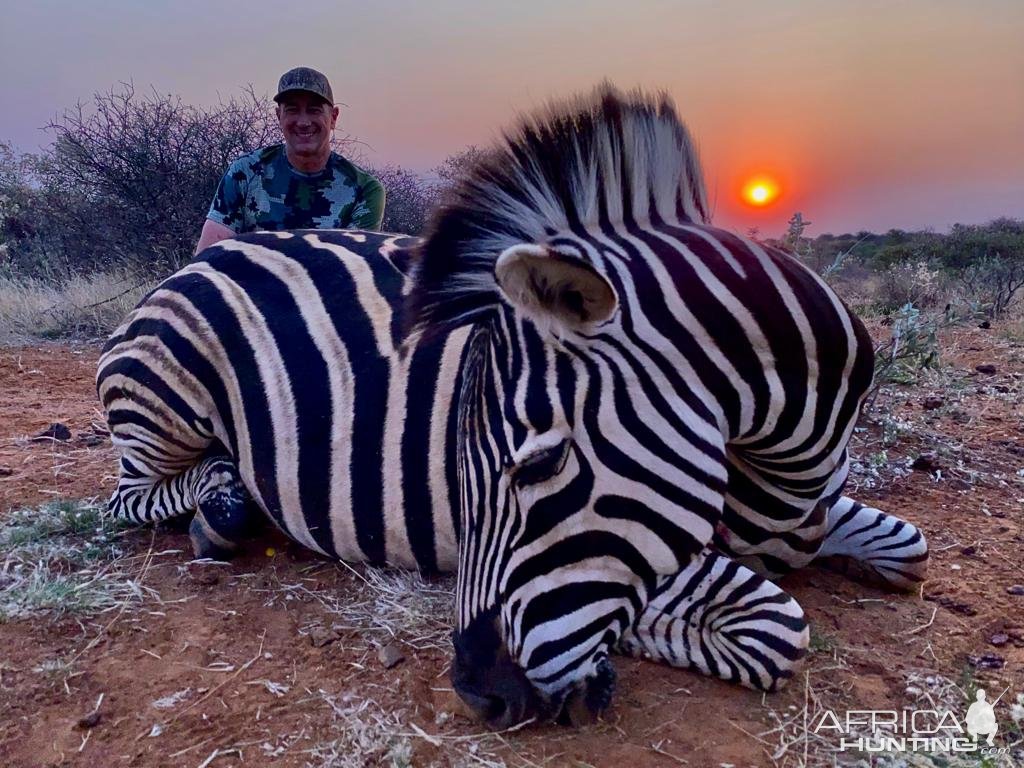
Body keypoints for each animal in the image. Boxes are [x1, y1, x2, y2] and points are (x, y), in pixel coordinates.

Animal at [99, 83, 933, 729]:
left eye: (541, 463)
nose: (478, 693)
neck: (788, 462)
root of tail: (210, 253)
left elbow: (909, 548)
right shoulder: (666, 552)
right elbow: (773, 625)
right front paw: (611, 655)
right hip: (166, 398)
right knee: (133, 496)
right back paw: (219, 507)